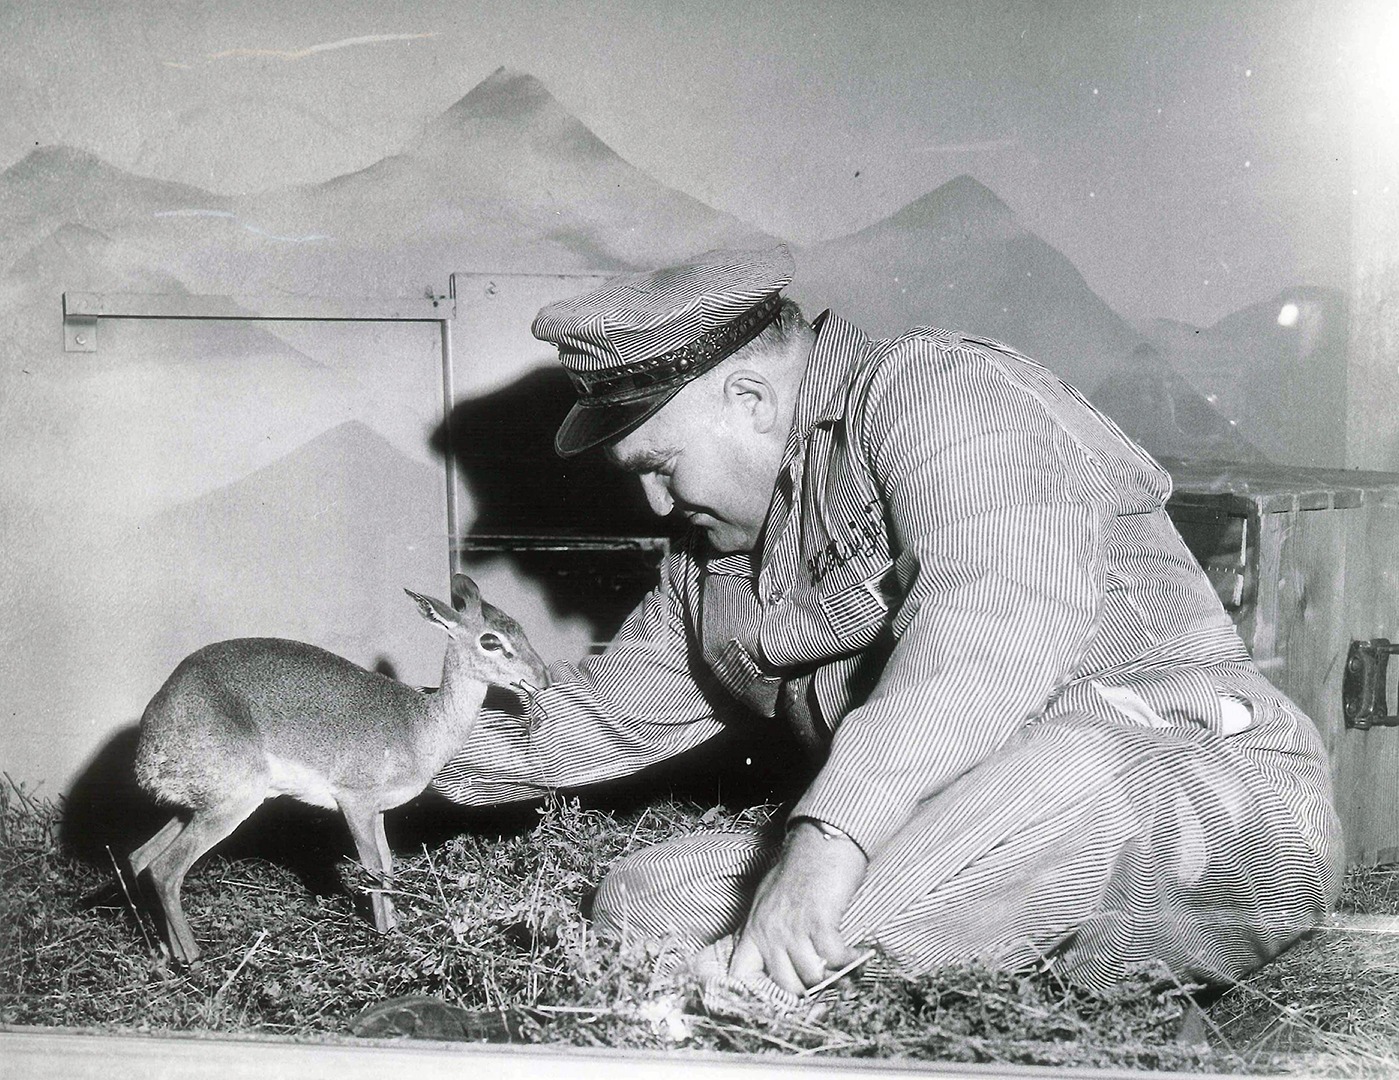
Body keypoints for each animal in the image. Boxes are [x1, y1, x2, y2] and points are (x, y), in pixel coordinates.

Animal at [127, 574, 548, 965]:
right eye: (491, 640)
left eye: (520, 627)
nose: (542, 677)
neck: (420, 725)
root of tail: (148, 748)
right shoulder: (354, 801)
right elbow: (373, 867)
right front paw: (385, 936)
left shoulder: (379, 810)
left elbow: (388, 864)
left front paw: (395, 928)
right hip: (230, 804)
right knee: (167, 869)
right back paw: (195, 961)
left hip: (194, 808)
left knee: (141, 858)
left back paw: (173, 952)